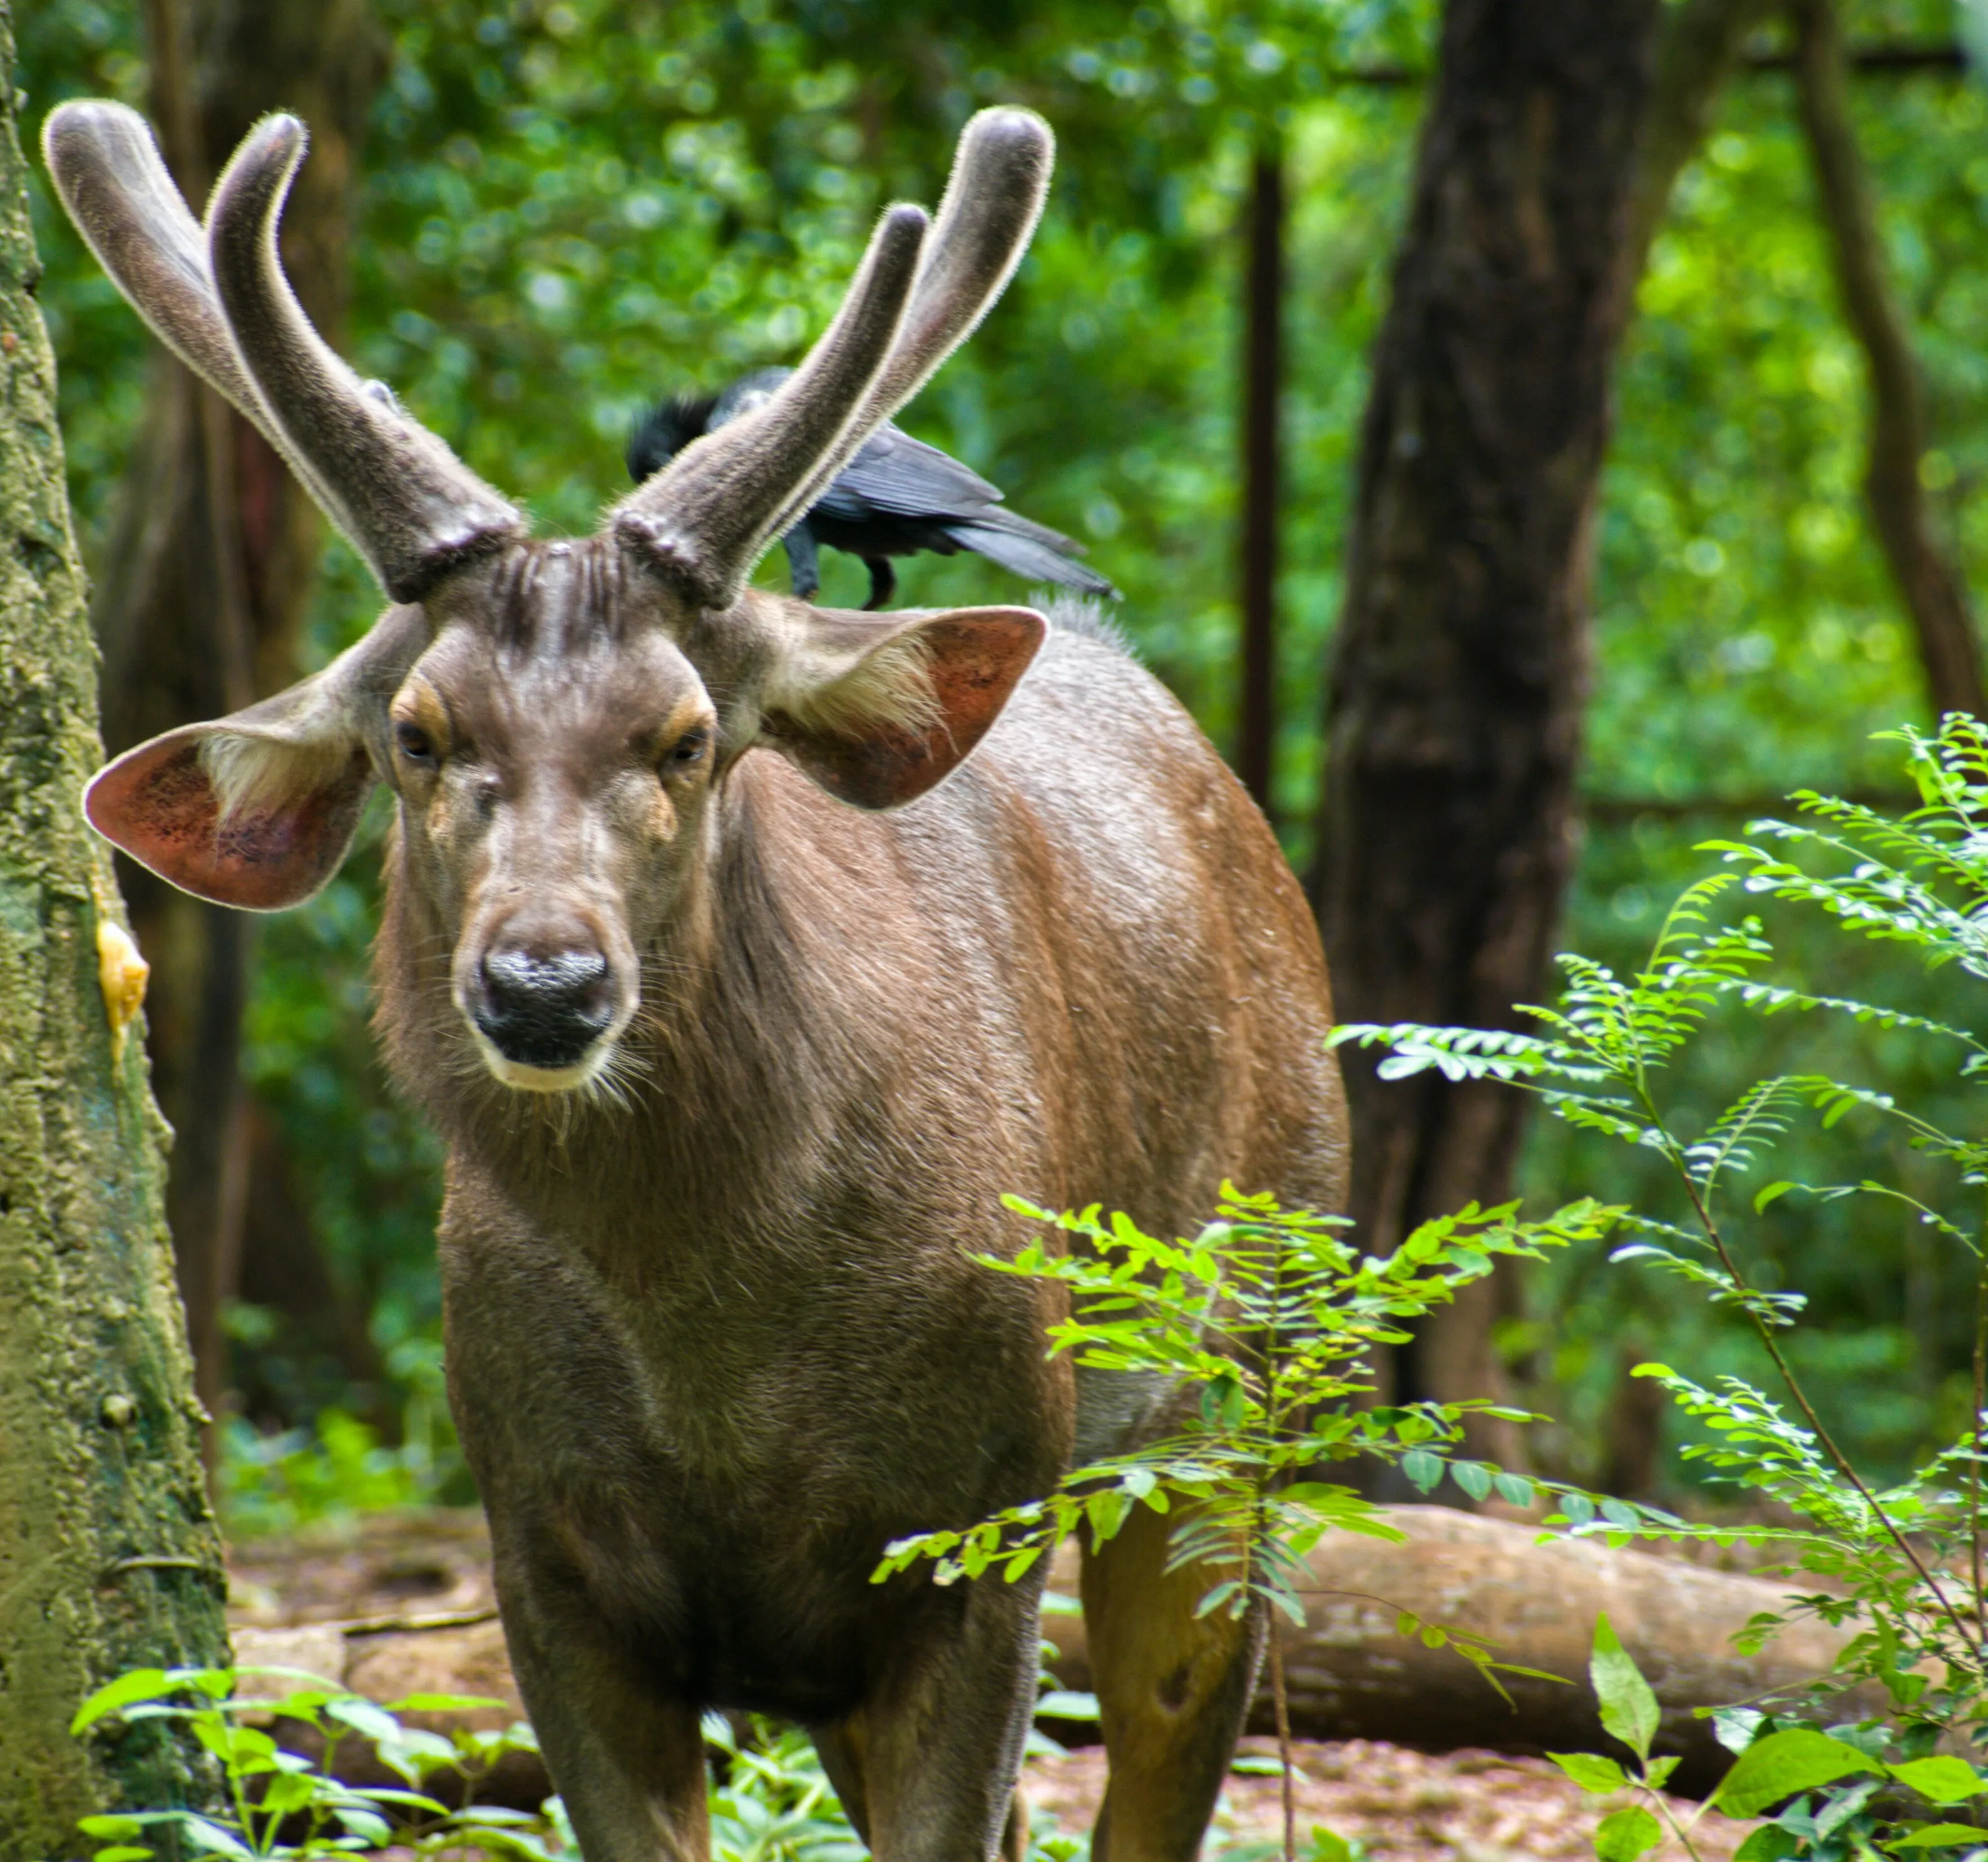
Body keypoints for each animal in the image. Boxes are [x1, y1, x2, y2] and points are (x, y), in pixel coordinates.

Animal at [47, 97, 1348, 1862]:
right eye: (417, 733)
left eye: (684, 736)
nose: (543, 983)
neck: (720, 1371)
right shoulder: (542, 1561)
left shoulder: (973, 1534)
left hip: (1251, 1367)